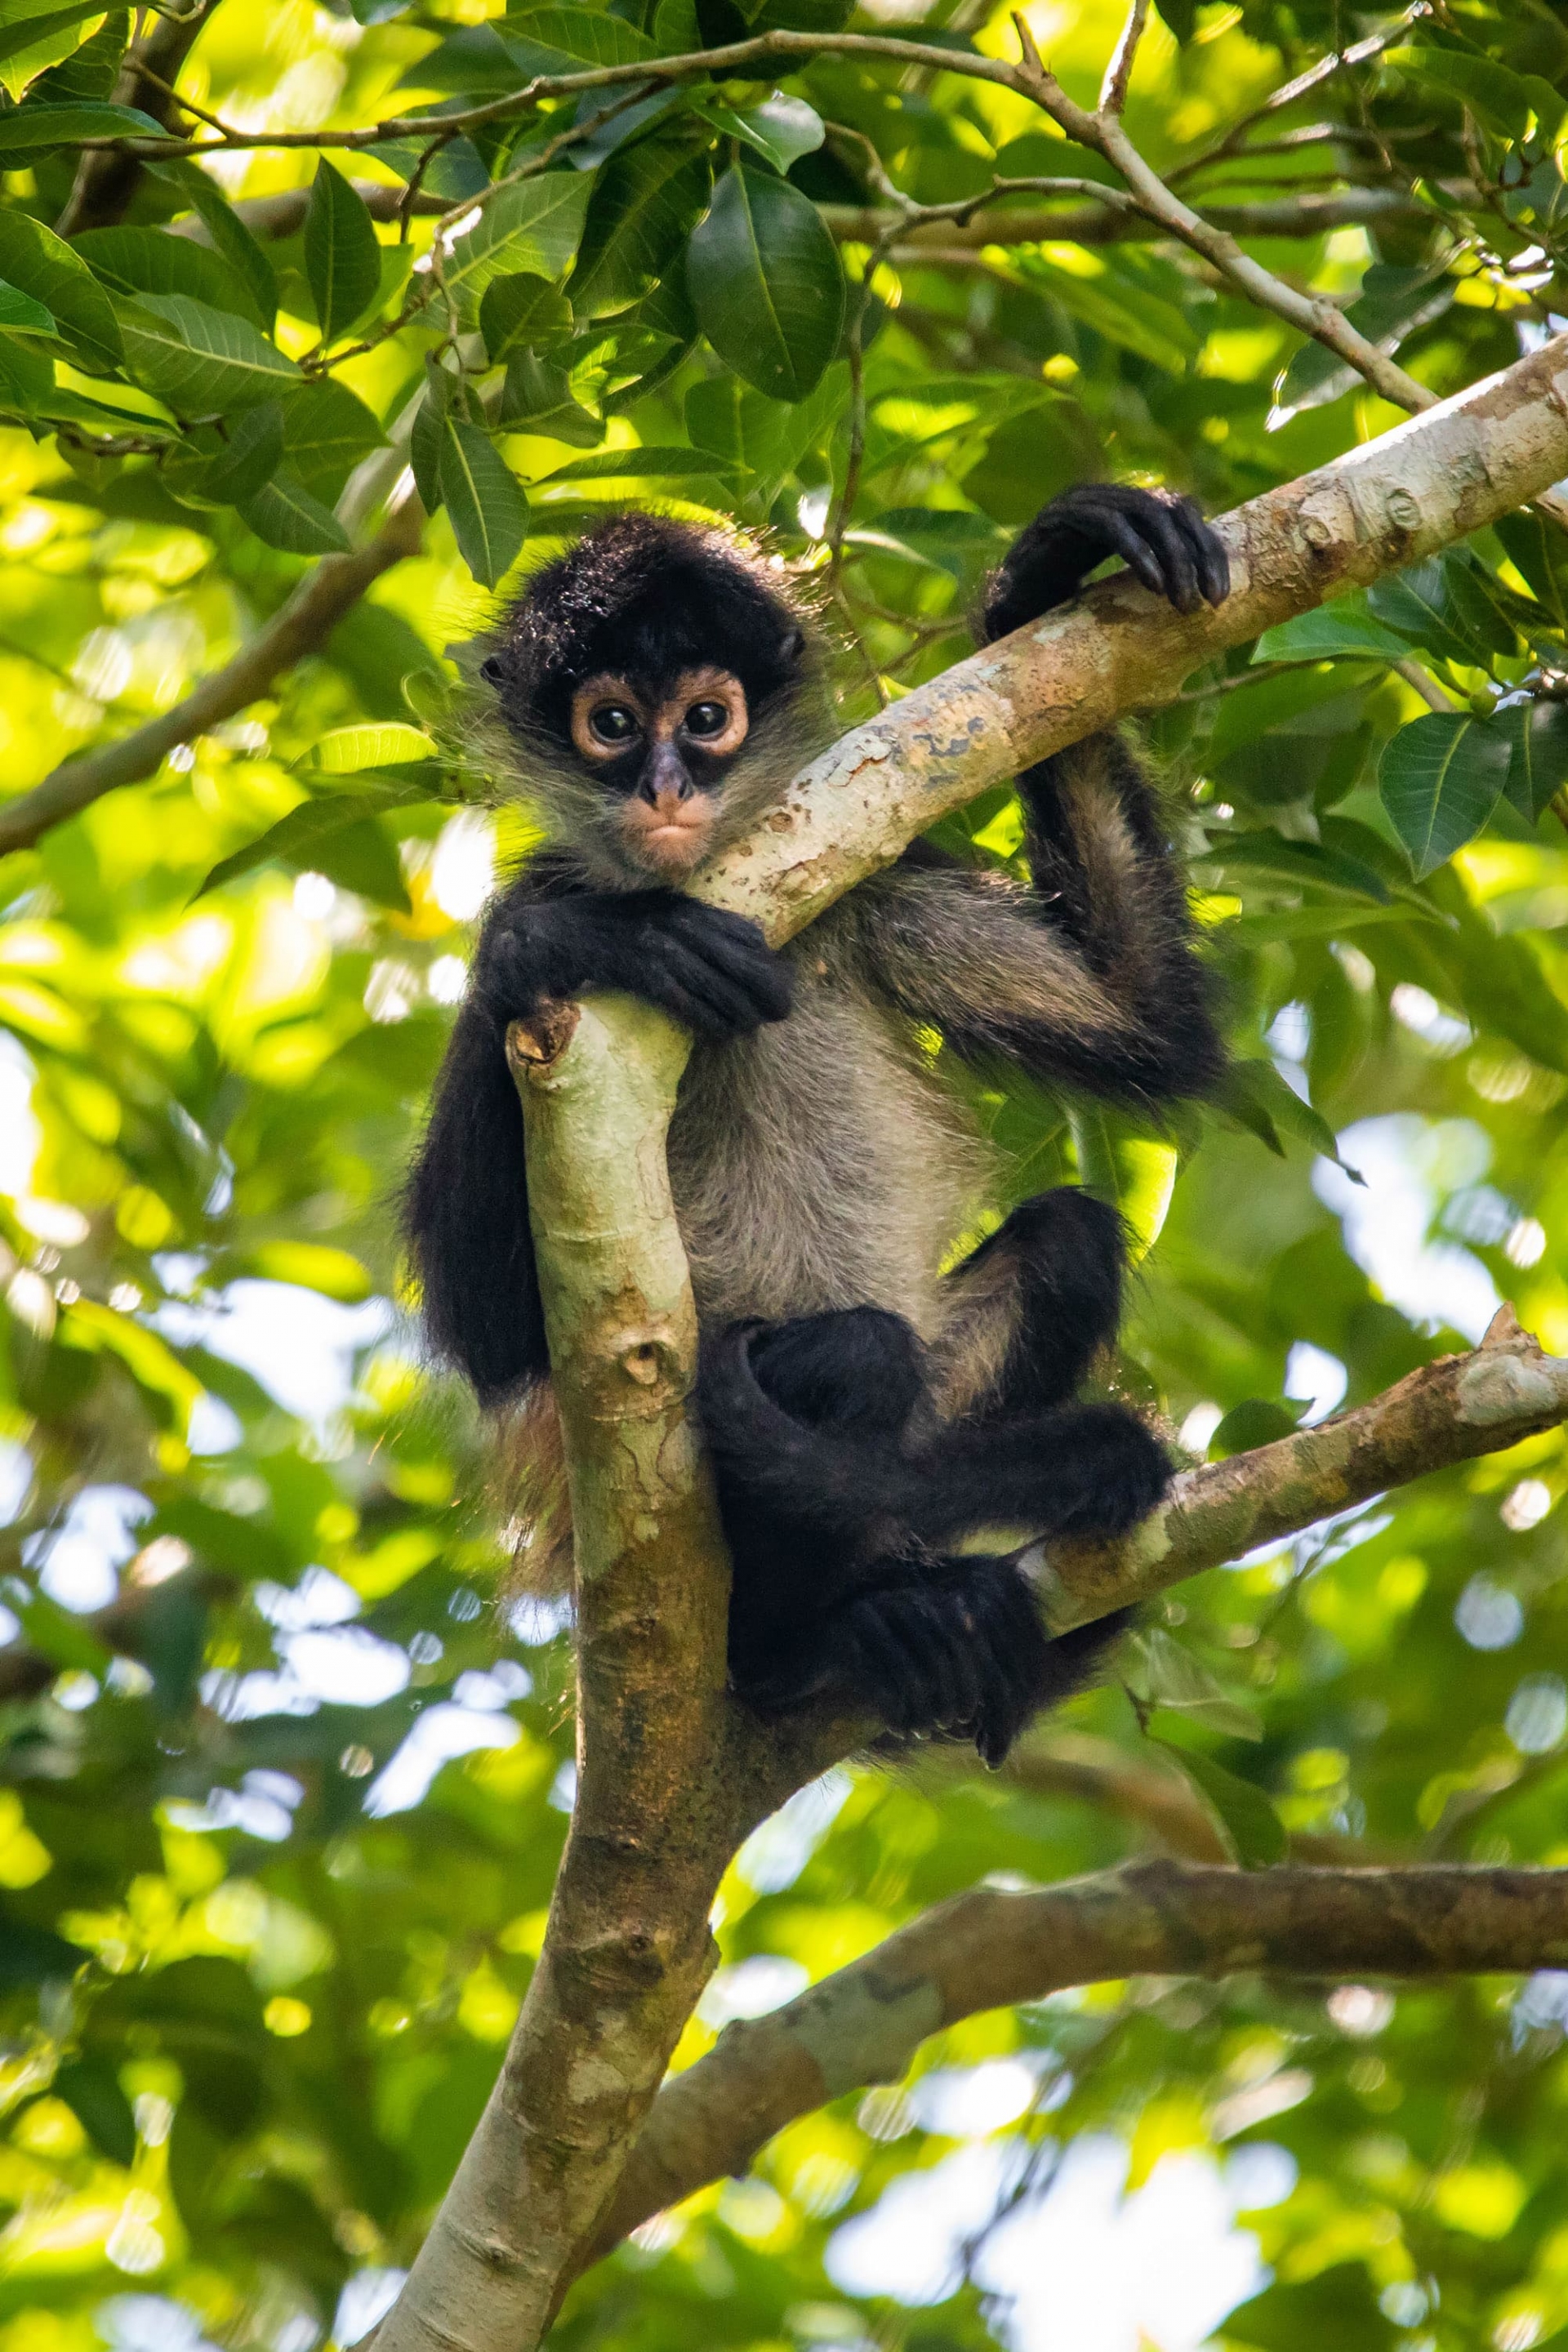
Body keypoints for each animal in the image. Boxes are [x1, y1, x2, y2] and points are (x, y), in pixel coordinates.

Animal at [406, 484, 1229, 1765]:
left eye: (705, 719)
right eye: (609, 723)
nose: (665, 789)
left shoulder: (874, 889)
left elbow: (1150, 1024)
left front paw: (1042, 577)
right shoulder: (551, 878)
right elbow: (489, 1336)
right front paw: (563, 944)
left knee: (1055, 1250)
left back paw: (895, 1608)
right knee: (861, 1354)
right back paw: (803, 1646)